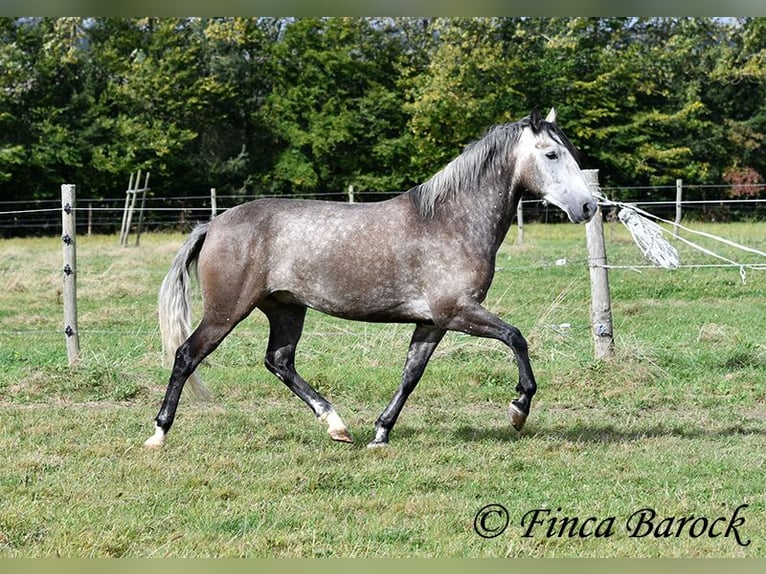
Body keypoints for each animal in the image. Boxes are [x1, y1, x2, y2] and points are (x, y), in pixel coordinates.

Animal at [146, 107, 600, 450]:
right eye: (551, 154)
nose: (588, 206)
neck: (449, 221)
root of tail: (214, 223)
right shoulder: (456, 312)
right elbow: (516, 337)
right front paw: (518, 409)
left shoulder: (432, 323)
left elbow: (411, 375)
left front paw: (381, 433)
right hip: (227, 310)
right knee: (187, 355)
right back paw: (159, 433)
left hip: (286, 308)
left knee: (279, 361)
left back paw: (337, 425)